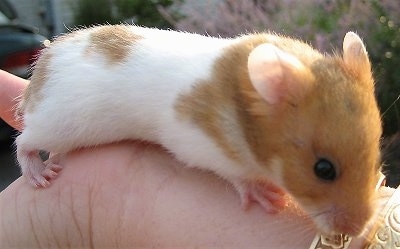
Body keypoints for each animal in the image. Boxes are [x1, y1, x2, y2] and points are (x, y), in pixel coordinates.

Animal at [15, 24, 382, 236]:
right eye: (324, 169)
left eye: (376, 156)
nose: (360, 229)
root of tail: (41, 69)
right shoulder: (199, 143)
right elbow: (237, 176)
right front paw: (266, 195)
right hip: (57, 121)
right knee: (24, 141)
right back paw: (39, 174)